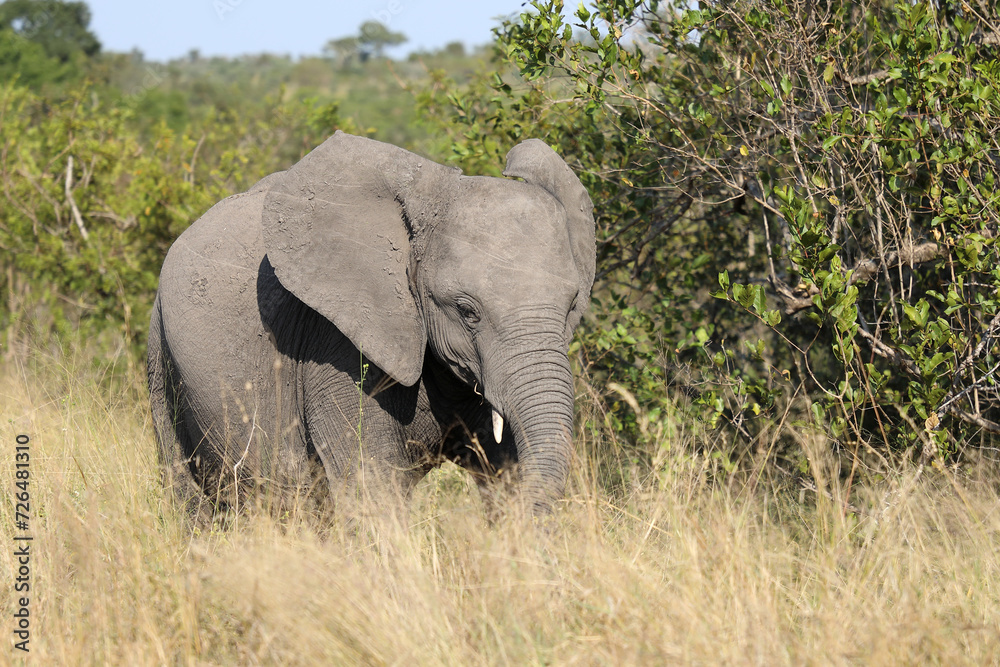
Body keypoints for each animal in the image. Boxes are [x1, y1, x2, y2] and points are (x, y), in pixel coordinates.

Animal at [147, 131, 595, 518]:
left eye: (571, 305)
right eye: (467, 311)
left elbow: (506, 470)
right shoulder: (336, 342)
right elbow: (371, 481)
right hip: (160, 353)